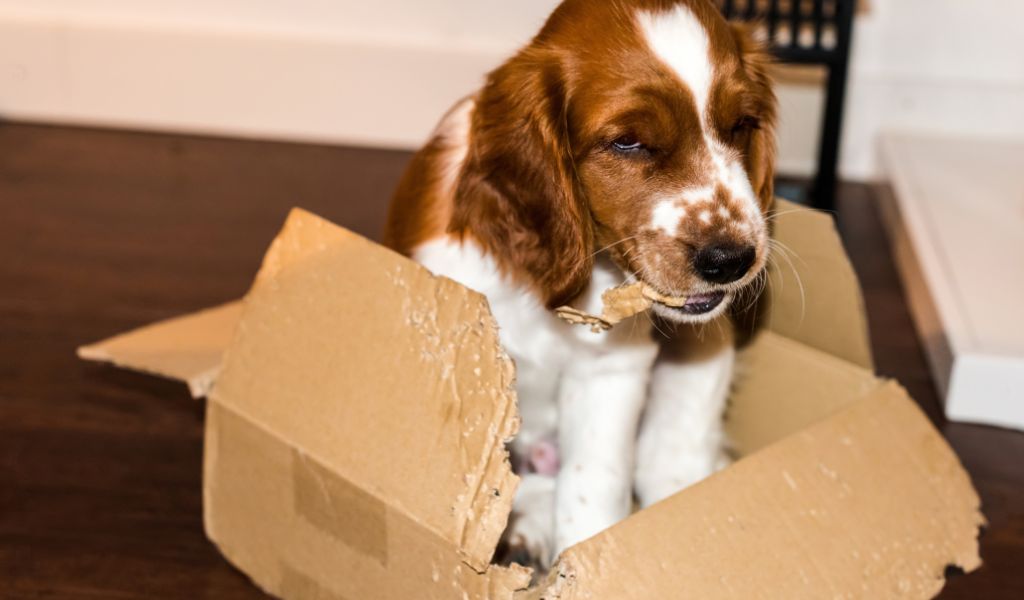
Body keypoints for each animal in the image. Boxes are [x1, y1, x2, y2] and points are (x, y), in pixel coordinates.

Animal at [385, 0, 774, 569]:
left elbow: (594, 484)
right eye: (628, 142)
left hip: (704, 359)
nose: (731, 259)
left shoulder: (610, 372)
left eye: (742, 124)